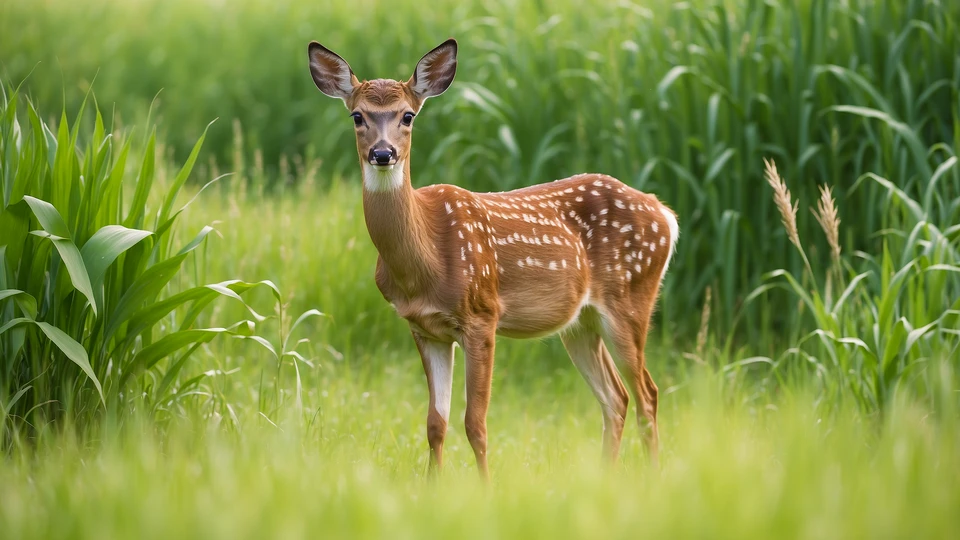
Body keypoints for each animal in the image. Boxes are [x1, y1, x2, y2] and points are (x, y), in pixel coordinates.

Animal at [307, 38, 679, 480]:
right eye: (358, 116)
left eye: (408, 115)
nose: (383, 153)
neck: (426, 258)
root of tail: (665, 214)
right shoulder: (424, 328)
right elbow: (435, 423)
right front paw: (433, 487)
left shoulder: (483, 315)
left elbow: (475, 422)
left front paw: (485, 489)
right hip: (580, 322)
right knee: (616, 398)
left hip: (631, 299)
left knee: (647, 393)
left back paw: (653, 476)